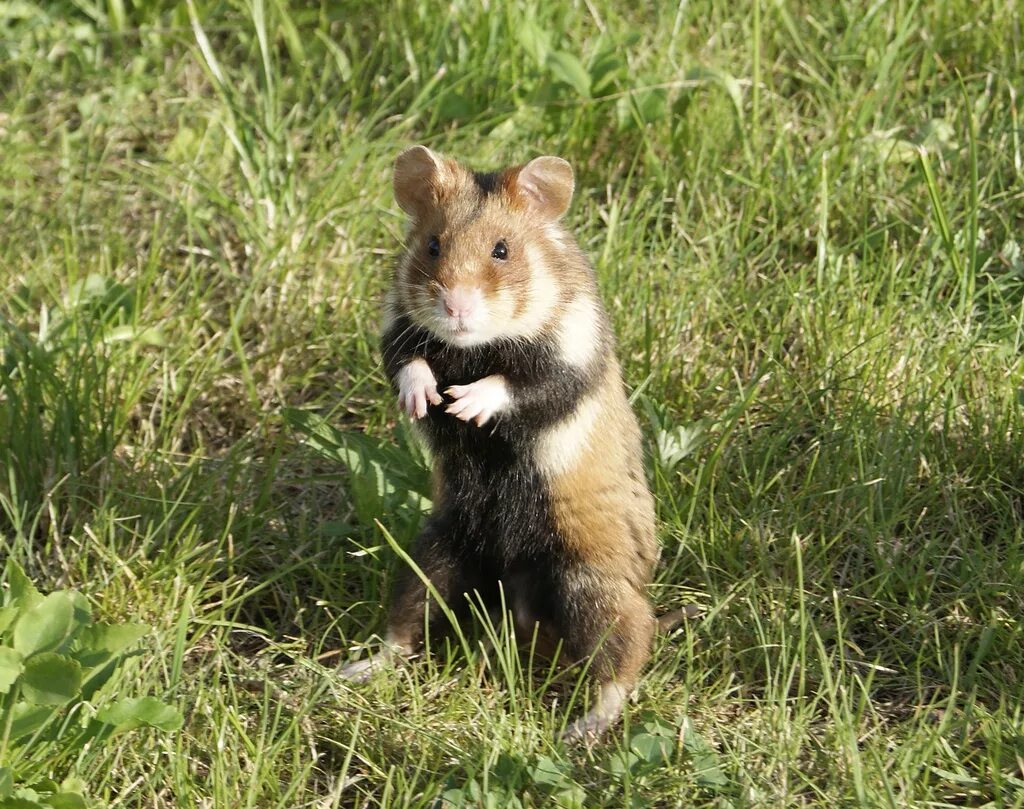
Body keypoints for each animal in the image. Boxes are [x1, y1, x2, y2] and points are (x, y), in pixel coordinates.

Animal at [344, 145, 659, 741]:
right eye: (433, 244)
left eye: (502, 250)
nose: (456, 309)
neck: (475, 346)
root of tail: (519, 614)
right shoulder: (396, 331)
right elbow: (407, 362)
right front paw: (426, 401)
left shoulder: (571, 357)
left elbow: (519, 385)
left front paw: (463, 404)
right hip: (437, 550)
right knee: (406, 623)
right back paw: (354, 669)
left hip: (588, 581)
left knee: (626, 653)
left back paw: (580, 730)